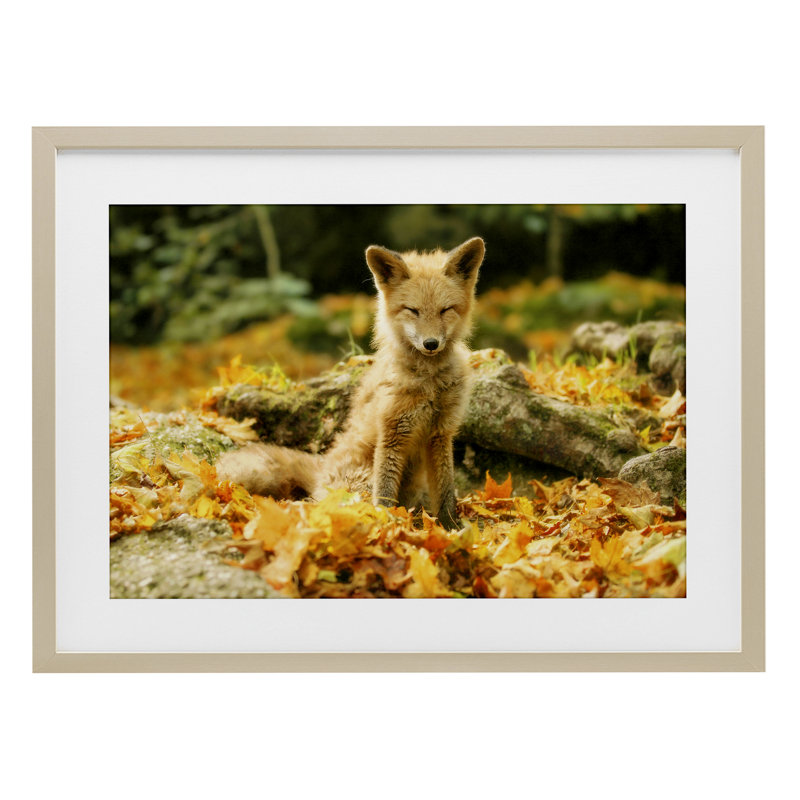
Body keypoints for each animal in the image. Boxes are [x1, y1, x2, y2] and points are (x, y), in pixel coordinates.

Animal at [216, 236, 485, 530]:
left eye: (445, 310)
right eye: (412, 311)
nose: (431, 344)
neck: (430, 383)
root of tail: (322, 468)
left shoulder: (441, 433)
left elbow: (446, 492)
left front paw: (451, 528)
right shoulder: (393, 431)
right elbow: (385, 493)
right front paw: (388, 525)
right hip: (361, 483)